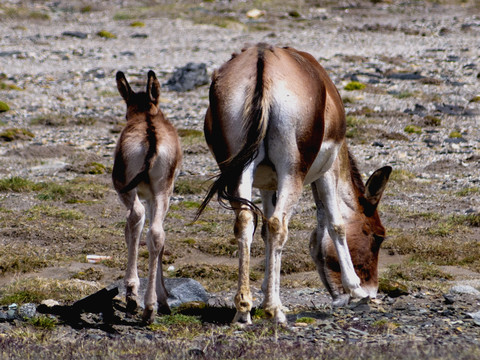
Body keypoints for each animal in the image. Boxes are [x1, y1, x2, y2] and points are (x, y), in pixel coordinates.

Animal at [112, 70, 182, 324]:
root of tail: (151, 135)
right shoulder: (156, 196)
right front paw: (163, 299)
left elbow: (130, 230)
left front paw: (132, 293)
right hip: (164, 190)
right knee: (157, 233)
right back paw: (151, 306)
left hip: (127, 189)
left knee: (136, 217)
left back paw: (136, 298)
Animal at [197, 43, 392, 324]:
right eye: (378, 235)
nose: (372, 289)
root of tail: (263, 60)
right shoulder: (327, 170)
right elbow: (336, 224)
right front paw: (355, 289)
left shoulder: (267, 184)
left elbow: (265, 232)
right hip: (293, 174)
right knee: (279, 225)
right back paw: (274, 311)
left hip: (239, 174)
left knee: (246, 221)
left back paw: (243, 311)